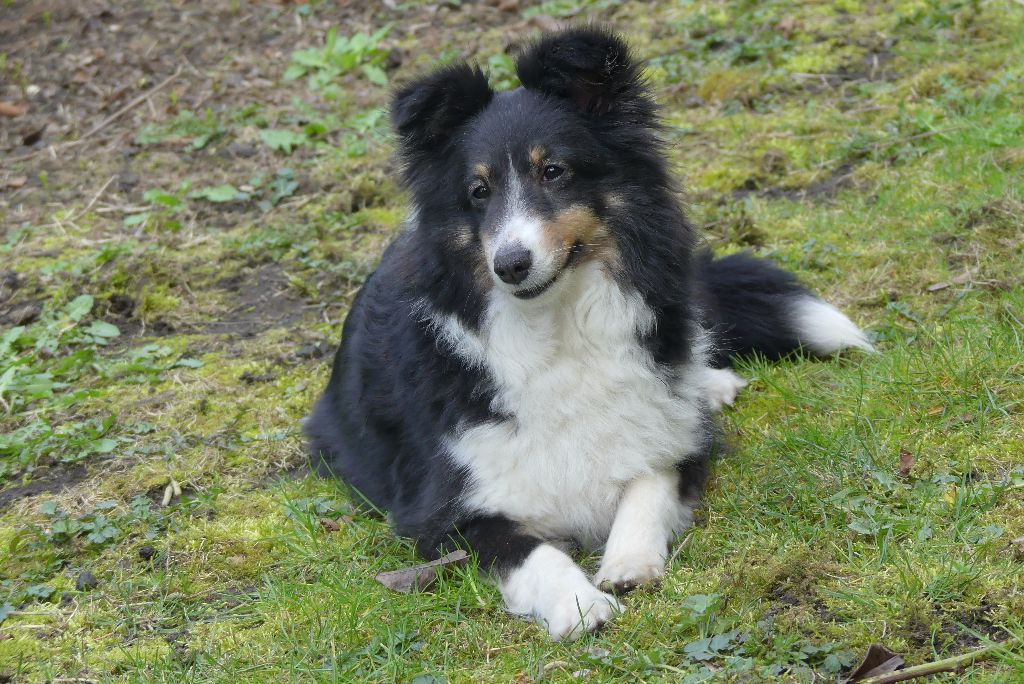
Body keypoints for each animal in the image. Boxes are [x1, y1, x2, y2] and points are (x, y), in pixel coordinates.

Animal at [305, 28, 872, 643]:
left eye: (553, 171)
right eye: (478, 191)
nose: (510, 265)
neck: (558, 329)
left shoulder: (677, 438)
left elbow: (649, 482)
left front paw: (628, 562)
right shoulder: (445, 511)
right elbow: (533, 552)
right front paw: (579, 603)